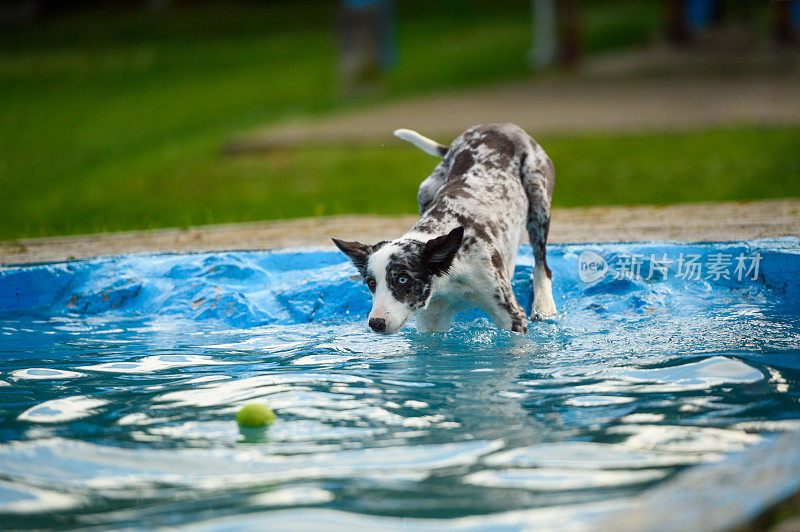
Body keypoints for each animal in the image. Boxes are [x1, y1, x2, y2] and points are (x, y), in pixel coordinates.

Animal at [332, 122, 556, 334]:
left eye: (403, 279)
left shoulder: (511, 315)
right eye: (371, 283)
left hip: (538, 197)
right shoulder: (431, 321)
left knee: (542, 263)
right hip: (426, 190)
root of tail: (501, 126)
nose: (376, 323)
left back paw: (544, 305)